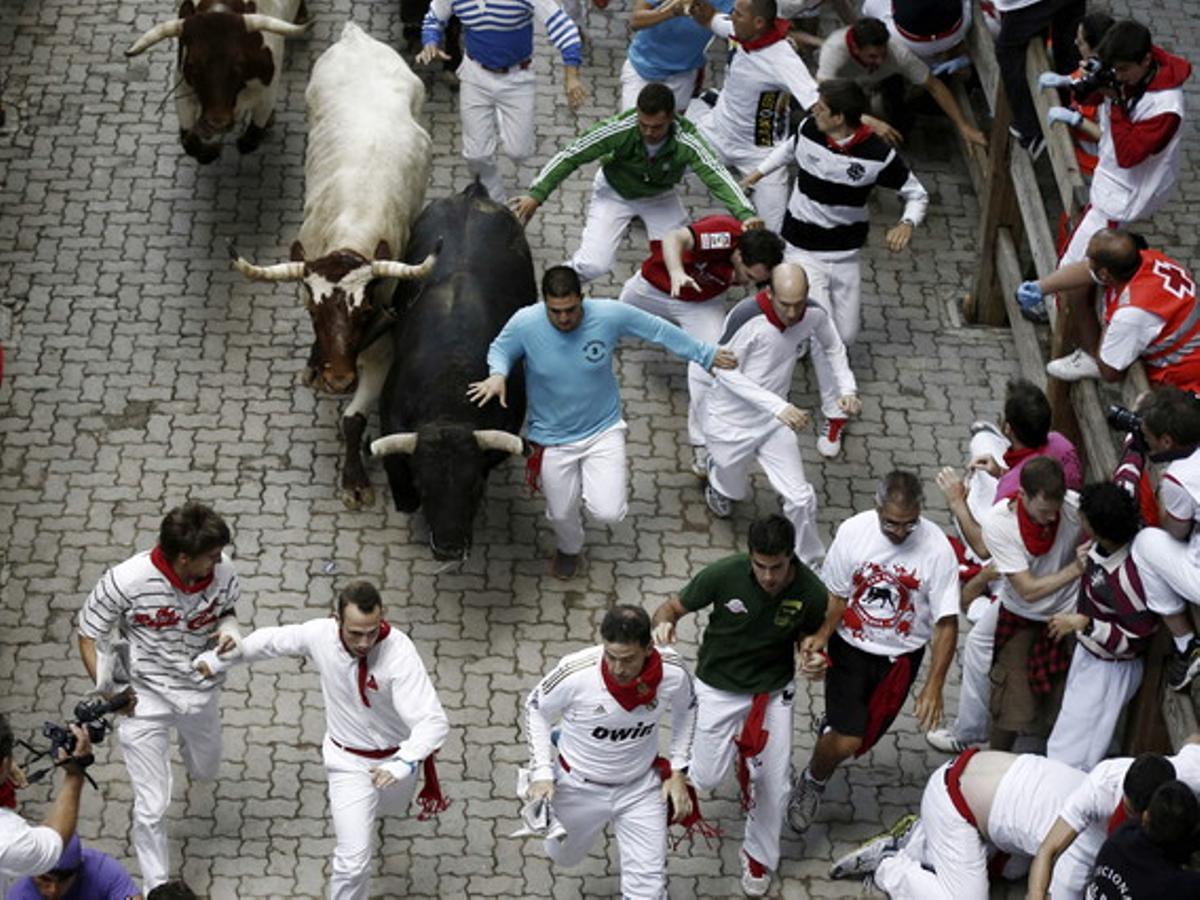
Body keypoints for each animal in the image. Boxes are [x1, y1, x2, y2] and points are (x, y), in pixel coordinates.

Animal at [231, 21, 434, 511]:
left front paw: (354, 477)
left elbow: (353, 418)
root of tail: (356, 36)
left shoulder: (382, 345)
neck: (351, 228)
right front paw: (314, 361)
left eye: (365, 311)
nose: (340, 379)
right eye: (313, 311)